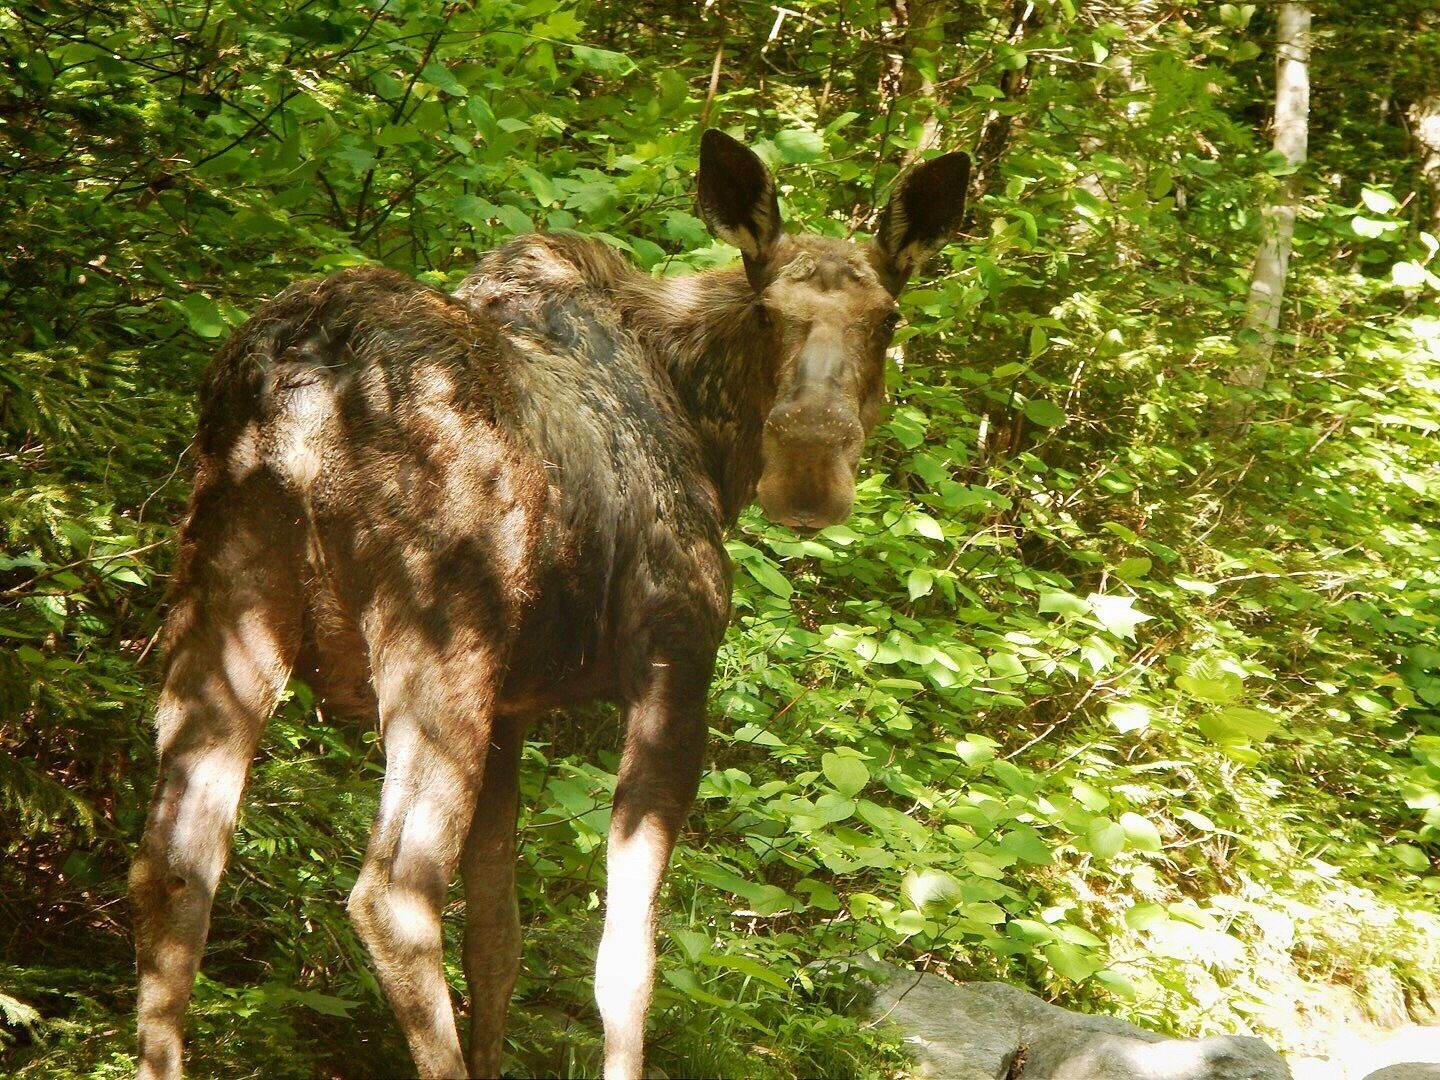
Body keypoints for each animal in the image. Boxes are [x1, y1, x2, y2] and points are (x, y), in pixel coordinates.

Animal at [129, 129, 969, 1080]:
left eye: (887, 319)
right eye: (766, 313)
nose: (809, 461)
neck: (710, 436)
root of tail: (301, 389)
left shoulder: (514, 712)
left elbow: (499, 939)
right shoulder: (671, 668)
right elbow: (624, 958)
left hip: (225, 590)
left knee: (175, 862)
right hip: (438, 638)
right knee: (393, 895)